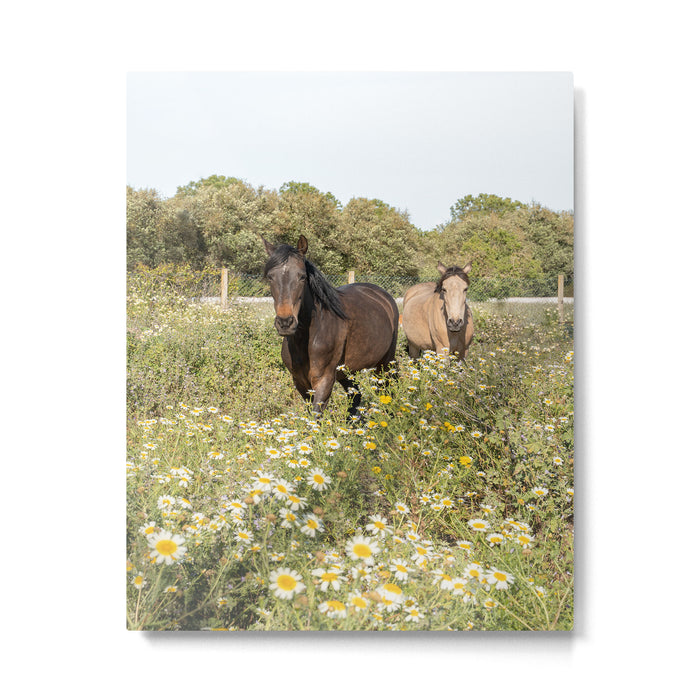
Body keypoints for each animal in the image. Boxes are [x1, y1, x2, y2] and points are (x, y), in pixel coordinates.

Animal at [261, 235, 400, 415]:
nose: (285, 322)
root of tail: (383, 296)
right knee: (355, 396)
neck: (307, 337)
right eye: (270, 277)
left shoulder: (324, 380)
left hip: (384, 365)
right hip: (346, 372)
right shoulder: (300, 382)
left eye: (302, 277)